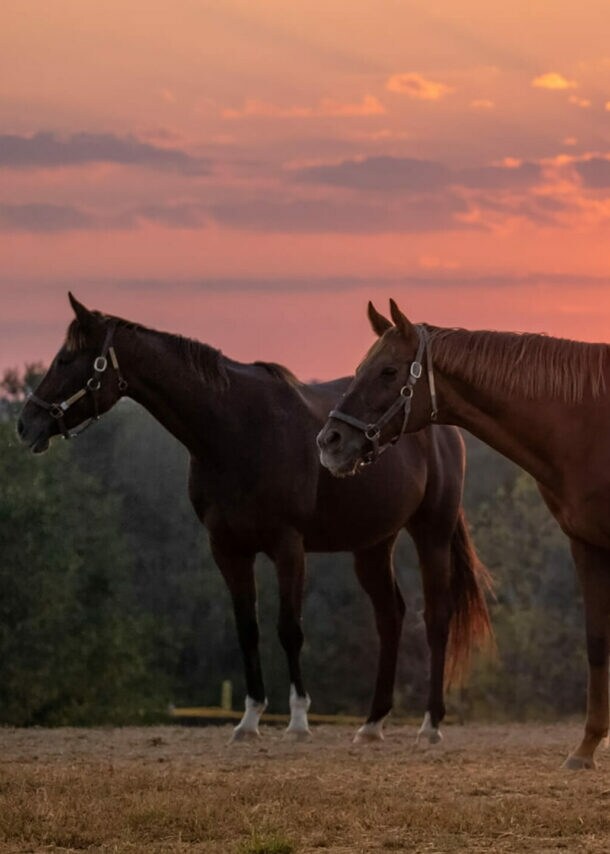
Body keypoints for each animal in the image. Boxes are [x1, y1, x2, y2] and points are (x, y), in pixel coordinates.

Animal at [17, 293, 491, 743]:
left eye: (66, 360)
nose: (25, 424)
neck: (237, 430)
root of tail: (443, 427)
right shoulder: (228, 548)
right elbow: (248, 628)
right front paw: (248, 720)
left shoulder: (288, 546)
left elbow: (289, 629)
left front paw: (298, 720)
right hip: (373, 545)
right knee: (390, 617)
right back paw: (372, 723)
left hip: (431, 532)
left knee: (436, 616)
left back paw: (430, 724)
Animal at [317, 297, 610, 768]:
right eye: (361, 367)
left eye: (389, 371)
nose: (331, 442)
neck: (589, 426)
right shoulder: (585, 545)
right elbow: (596, 641)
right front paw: (585, 749)